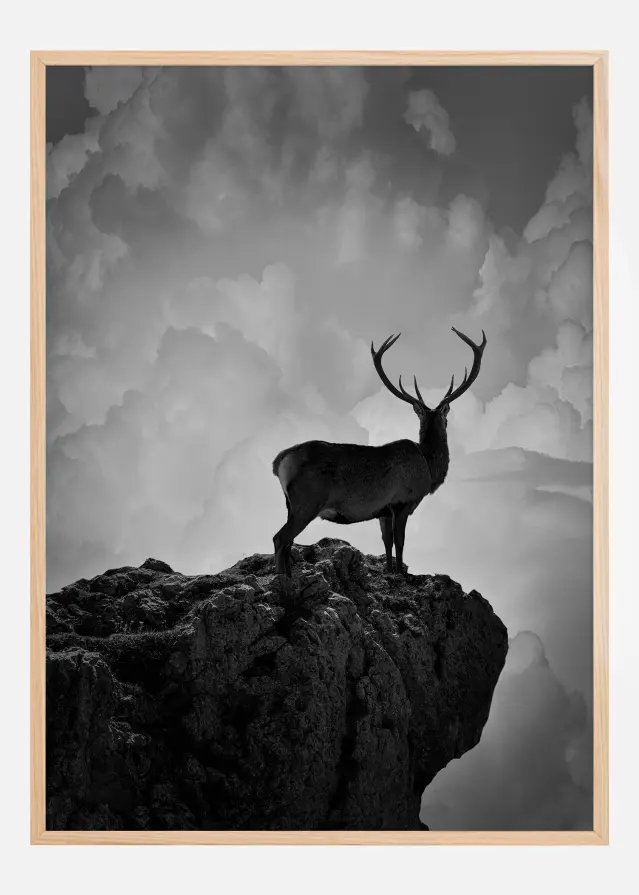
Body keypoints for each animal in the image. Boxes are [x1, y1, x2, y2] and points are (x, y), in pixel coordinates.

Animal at [271, 327, 486, 577]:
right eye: (446, 417)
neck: (428, 467)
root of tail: (278, 462)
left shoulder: (383, 511)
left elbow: (387, 544)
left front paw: (390, 571)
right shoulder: (403, 500)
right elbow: (400, 542)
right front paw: (402, 573)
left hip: (290, 504)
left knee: (286, 542)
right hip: (307, 500)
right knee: (280, 538)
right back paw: (281, 578)